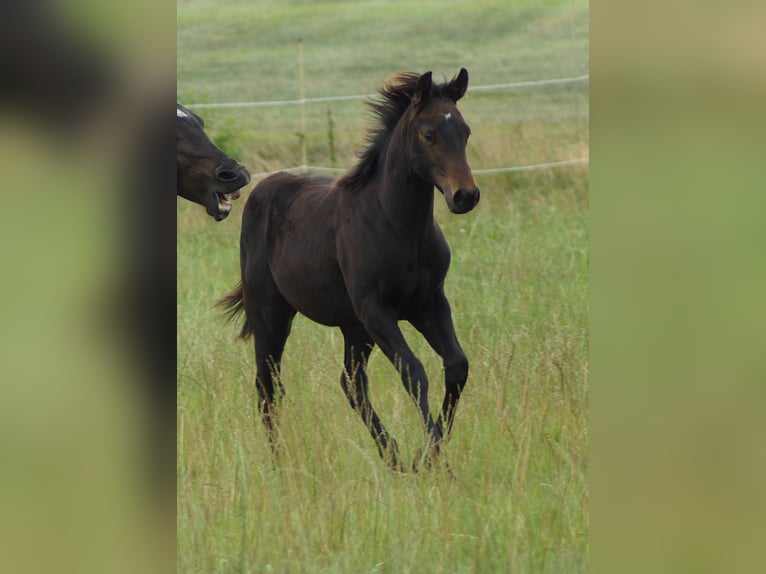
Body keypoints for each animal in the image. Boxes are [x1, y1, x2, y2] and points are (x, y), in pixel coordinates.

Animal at [219, 69, 480, 471]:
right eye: (429, 134)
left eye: (465, 131)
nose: (465, 196)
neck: (401, 227)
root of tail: (263, 188)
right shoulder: (376, 309)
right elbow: (414, 372)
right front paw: (437, 461)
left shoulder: (429, 304)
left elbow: (456, 366)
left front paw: (427, 456)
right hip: (272, 314)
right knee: (268, 385)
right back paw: (279, 463)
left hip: (353, 328)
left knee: (351, 384)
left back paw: (392, 457)